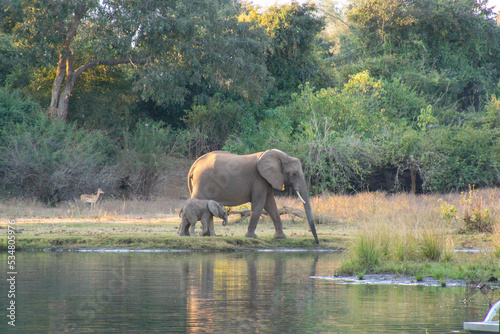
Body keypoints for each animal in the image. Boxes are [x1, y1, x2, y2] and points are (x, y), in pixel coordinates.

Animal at [188, 149, 320, 243]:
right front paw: (251, 237)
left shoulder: (267, 180)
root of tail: (194, 165)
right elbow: (259, 203)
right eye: (294, 174)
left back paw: (207, 235)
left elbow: (270, 204)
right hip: (203, 181)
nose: (317, 242)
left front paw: (281, 237)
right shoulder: (259, 179)